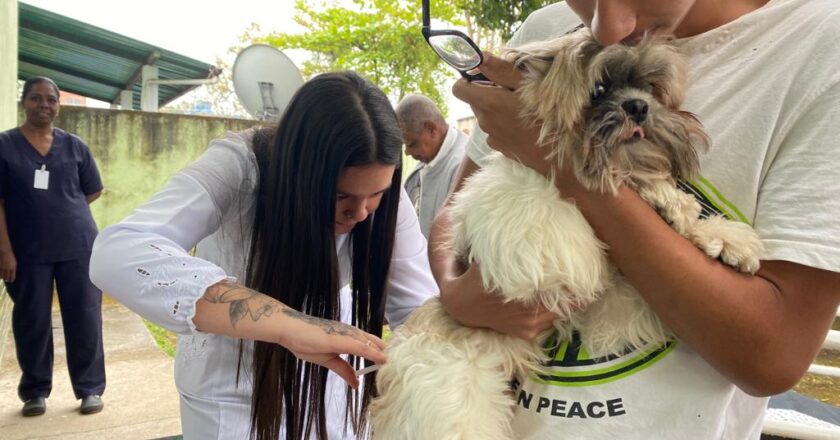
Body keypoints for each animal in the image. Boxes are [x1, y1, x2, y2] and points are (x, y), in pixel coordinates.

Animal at [370, 29, 764, 440]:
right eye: (599, 89)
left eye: (650, 87)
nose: (639, 106)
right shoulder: (540, 244)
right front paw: (670, 201)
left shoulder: (609, 305)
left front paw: (721, 236)